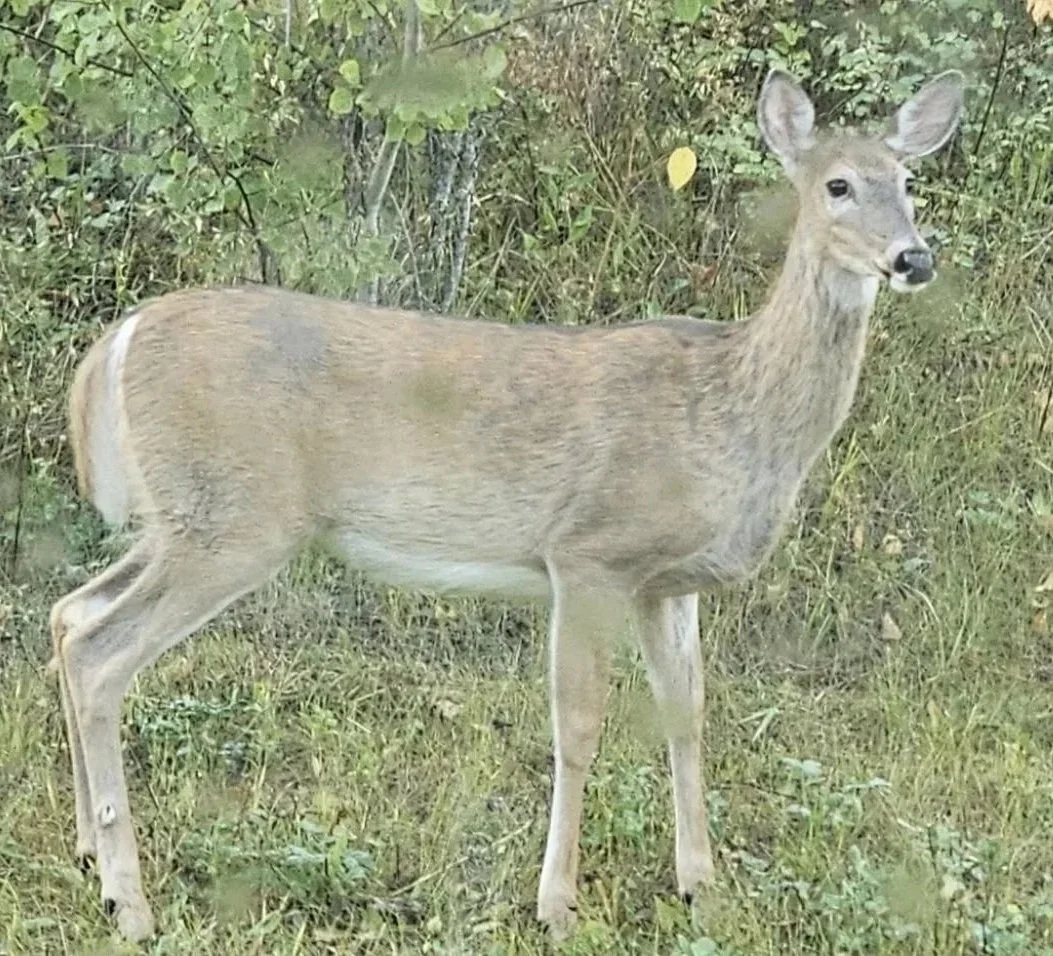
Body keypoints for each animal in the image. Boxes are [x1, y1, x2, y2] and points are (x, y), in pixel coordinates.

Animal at [48, 68, 963, 942]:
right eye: (837, 184)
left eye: (907, 181)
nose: (912, 259)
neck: (731, 411)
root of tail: (118, 340)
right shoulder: (588, 552)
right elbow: (580, 726)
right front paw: (556, 905)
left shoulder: (669, 584)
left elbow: (687, 715)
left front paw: (700, 887)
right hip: (235, 519)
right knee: (100, 650)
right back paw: (129, 902)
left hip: (184, 515)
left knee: (69, 612)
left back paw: (89, 851)